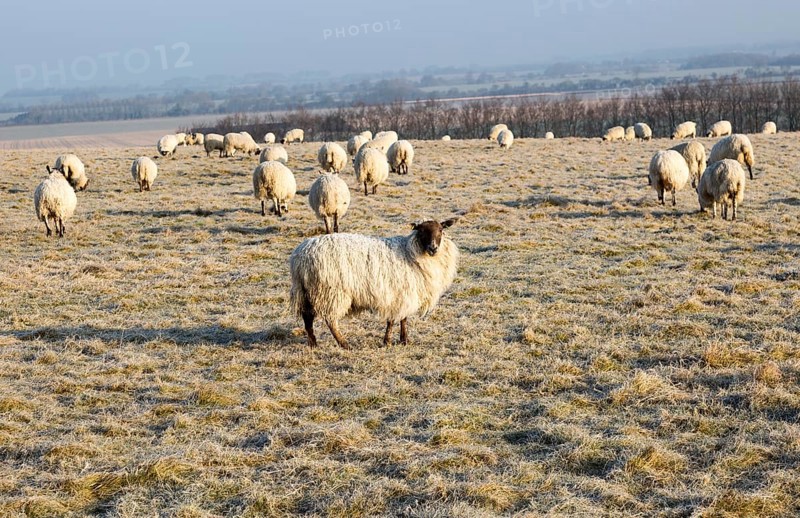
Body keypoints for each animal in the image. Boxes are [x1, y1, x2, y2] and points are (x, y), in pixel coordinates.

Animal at [289, 218, 459, 349]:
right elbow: (393, 320)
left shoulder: (404, 293)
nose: (433, 248)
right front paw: (388, 341)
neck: (409, 251)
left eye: (441, 230)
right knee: (330, 320)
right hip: (330, 291)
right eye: (422, 231)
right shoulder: (398, 294)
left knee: (307, 318)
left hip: (307, 291)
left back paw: (313, 343)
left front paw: (404, 340)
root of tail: (300, 257)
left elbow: (403, 318)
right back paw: (344, 344)